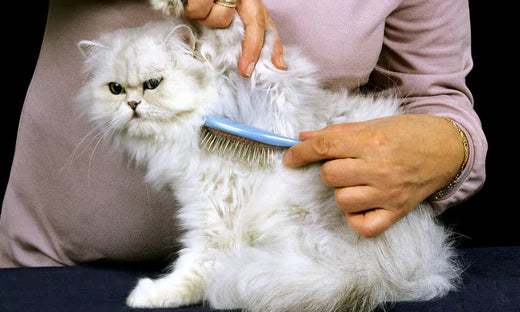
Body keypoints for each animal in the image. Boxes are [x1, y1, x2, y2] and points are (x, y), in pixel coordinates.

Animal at [76, 1, 460, 310]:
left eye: (153, 84)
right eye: (115, 89)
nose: (132, 105)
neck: (197, 123)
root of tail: (386, 274)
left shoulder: (271, 96)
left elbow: (234, 39)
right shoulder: (204, 207)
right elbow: (197, 266)